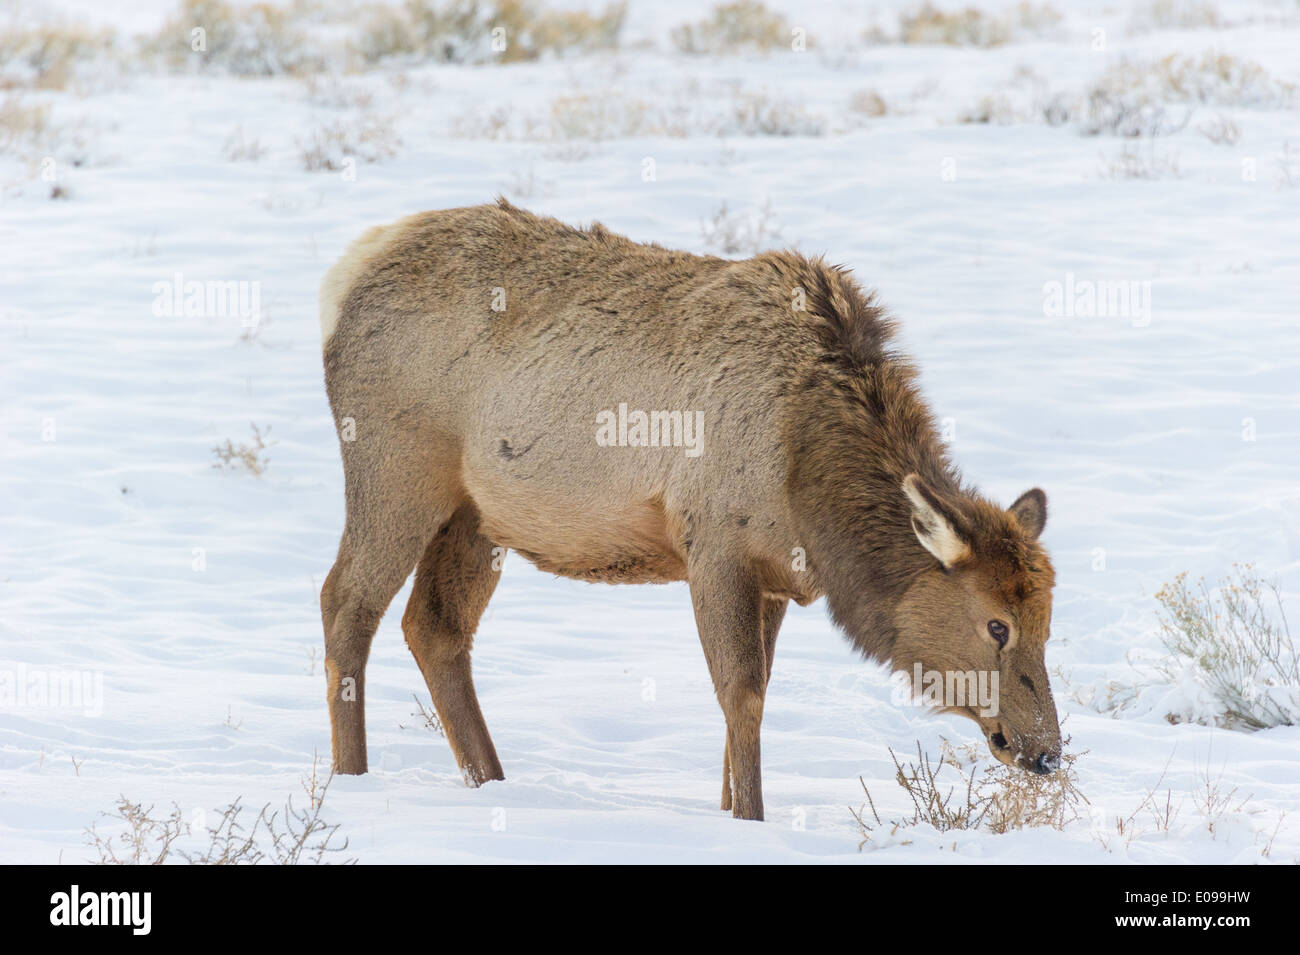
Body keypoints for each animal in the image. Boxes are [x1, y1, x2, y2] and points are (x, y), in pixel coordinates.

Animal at [319, 200, 1060, 821]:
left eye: (1046, 623)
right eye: (996, 625)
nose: (1047, 750)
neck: (808, 476)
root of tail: (345, 276)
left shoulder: (775, 573)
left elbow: (756, 692)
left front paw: (730, 808)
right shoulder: (715, 544)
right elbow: (742, 693)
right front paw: (749, 818)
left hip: (477, 514)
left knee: (435, 626)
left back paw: (492, 781)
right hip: (396, 469)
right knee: (345, 601)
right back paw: (351, 778)